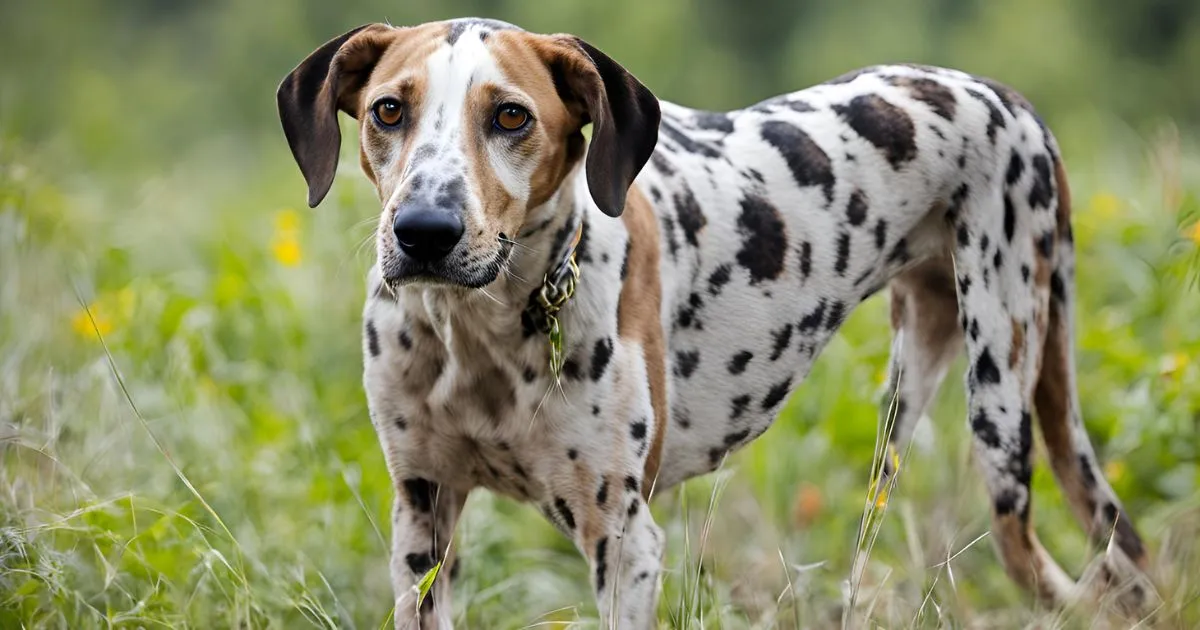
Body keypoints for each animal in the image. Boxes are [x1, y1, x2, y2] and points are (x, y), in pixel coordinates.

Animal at [278, 17, 1152, 624]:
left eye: (512, 118)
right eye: (389, 110)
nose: (424, 231)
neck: (481, 334)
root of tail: (1007, 96)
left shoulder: (623, 544)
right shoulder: (422, 518)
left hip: (1001, 411)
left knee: (1060, 573)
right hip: (909, 403)